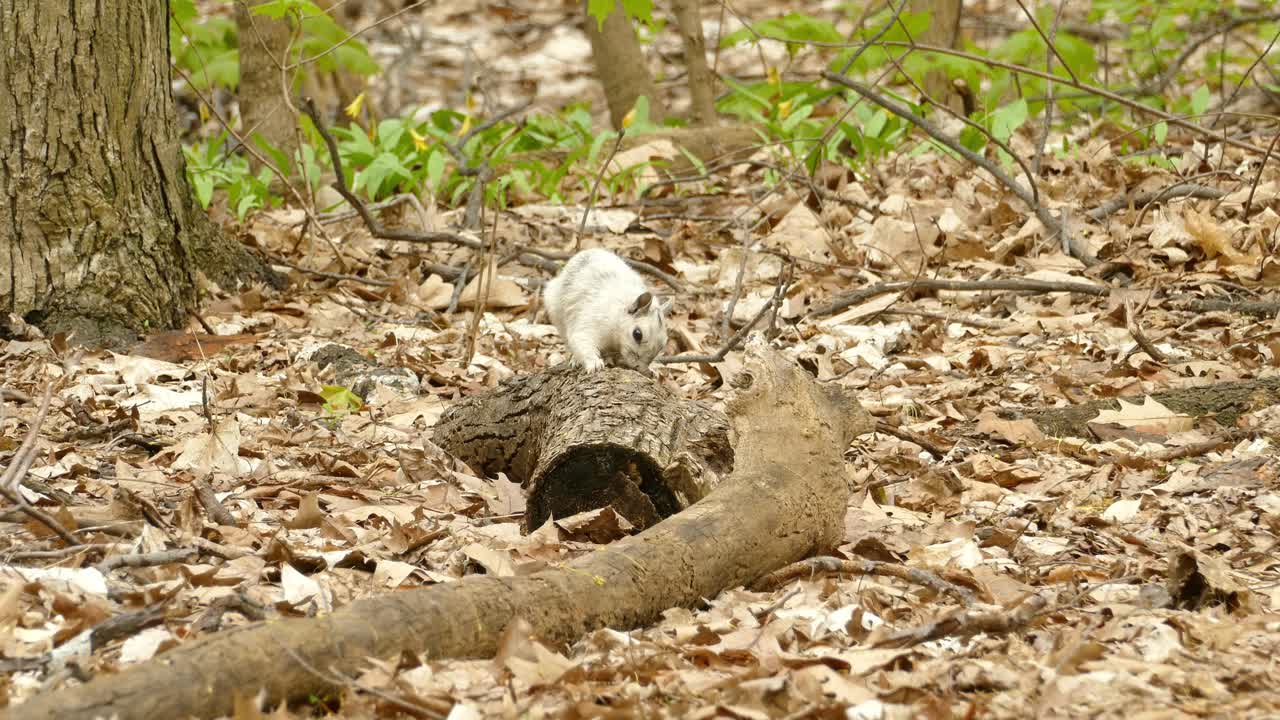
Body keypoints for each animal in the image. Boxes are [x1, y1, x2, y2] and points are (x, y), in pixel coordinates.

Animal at [543, 248, 671, 373]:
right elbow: (581, 339)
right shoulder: (593, 320)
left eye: (663, 345)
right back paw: (576, 359)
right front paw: (594, 363)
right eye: (637, 334)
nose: (639, 367)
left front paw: (651, 369)